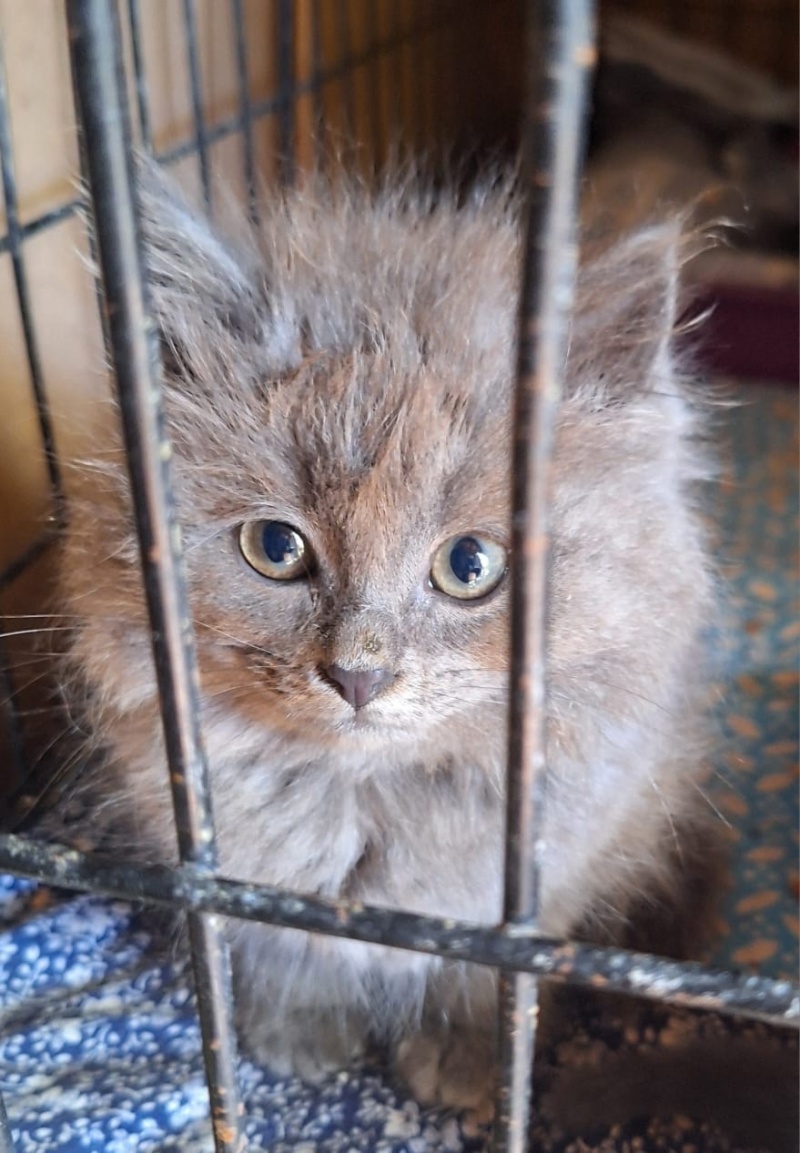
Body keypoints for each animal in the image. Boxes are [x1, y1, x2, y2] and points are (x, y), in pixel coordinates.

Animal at [52, 159, 718, 1117]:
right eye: (275, 547)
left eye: (471, 564)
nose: (358, 676)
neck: (364, 800)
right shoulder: (228, 872)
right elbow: (280, 943)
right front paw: (297, 1031)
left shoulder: (548, 882)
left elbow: (484, 976)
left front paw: (471, 1062)